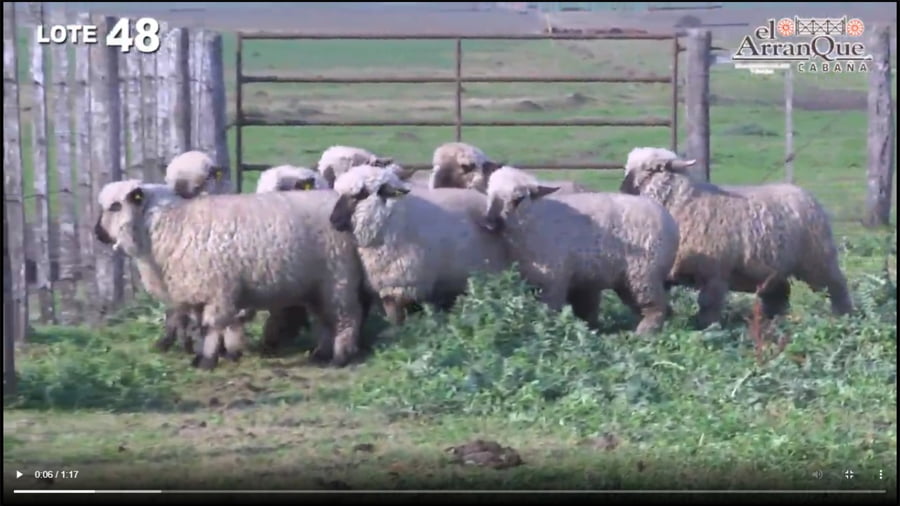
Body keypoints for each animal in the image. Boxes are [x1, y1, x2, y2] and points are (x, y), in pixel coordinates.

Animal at [94, 179, 367, 369]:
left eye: (115, 206)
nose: (97, 233)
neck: (173, 223)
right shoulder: (197, 291)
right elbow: (202, 325)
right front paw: (211, 354)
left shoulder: (217, 289)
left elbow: (211, 327)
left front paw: (206, 360)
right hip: (317, 285)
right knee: (325, 320)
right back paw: (320, 354)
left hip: (338, 277)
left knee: (346, 318)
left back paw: (340, 357)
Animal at [479, 166, 680, 335]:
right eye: (489, 194)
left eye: (518, 198)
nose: (489, 224)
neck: (533, 221)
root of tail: (671, 222)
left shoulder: (553, 280)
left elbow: (548, 311)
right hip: (627, 279)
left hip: (644, 272)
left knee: (655, 307)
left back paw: (643, 334)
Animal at [618, 146, 853, 328]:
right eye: (627, 167)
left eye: (652, 169)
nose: (623, 190)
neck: (684, 202)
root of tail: (807, 195)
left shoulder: (714, 272)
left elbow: (708, 304)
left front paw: (706, 328)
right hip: (774, 269)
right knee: (779, 295)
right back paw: (773, 323)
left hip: (817, 258)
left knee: (836, 285)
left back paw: (844, 316)